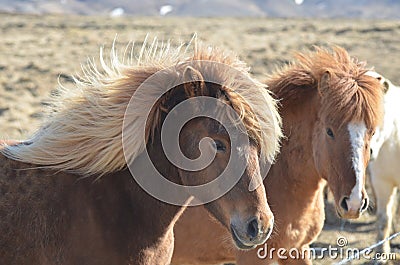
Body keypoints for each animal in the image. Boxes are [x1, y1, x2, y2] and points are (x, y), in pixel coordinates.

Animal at [172, 46, 384, 264]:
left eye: (372, 132)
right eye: (329, 131)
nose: (354, 203)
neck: (283, 175)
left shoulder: (297, 249)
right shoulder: (254, 257)